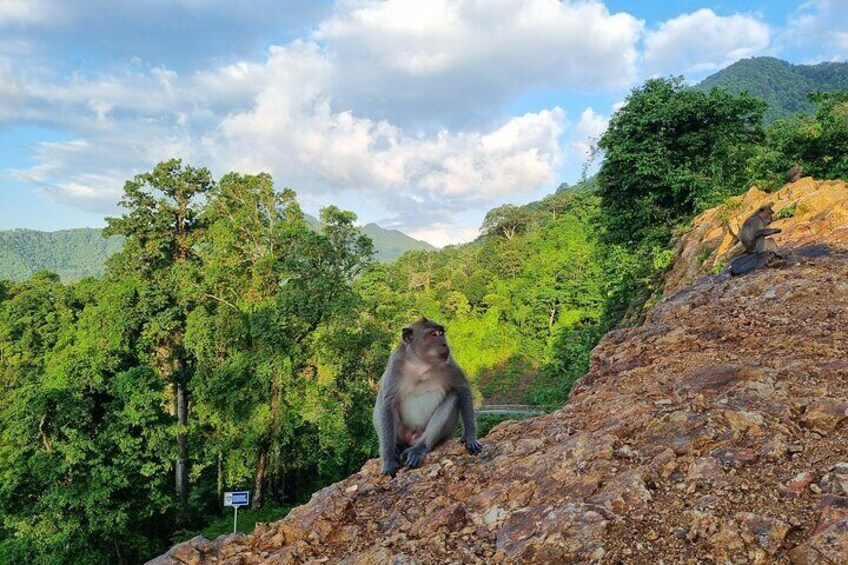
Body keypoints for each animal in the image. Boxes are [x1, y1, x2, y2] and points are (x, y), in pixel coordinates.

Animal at [372, 318, 484, 476]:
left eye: (441, 333)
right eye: (433, 334)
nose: (445, 344)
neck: (421, 364)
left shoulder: (449, 365)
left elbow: (462, 390)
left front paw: (469, 437)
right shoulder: (395, 366)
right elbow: (387, 403)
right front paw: (388, 461)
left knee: (453, 398)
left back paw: (420, 448)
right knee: (381, 403)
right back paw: (398, 445)